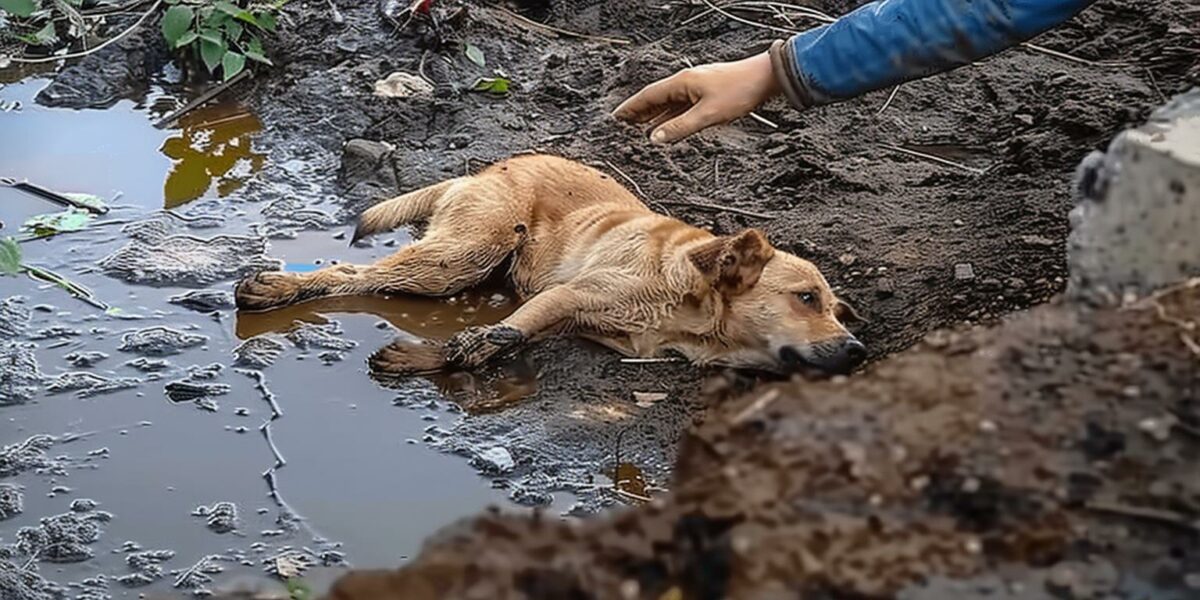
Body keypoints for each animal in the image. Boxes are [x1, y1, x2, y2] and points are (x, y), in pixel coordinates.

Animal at [231, 153, 864, 374]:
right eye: (805, 298)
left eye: (841, 312)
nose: (858, 349)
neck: (697, 303)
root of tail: (482, 169)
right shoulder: (569, 296)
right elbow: (495, 337)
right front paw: (435, 358)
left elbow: (499, 340)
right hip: (459, 258)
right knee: (353, 276)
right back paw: (277, 290)